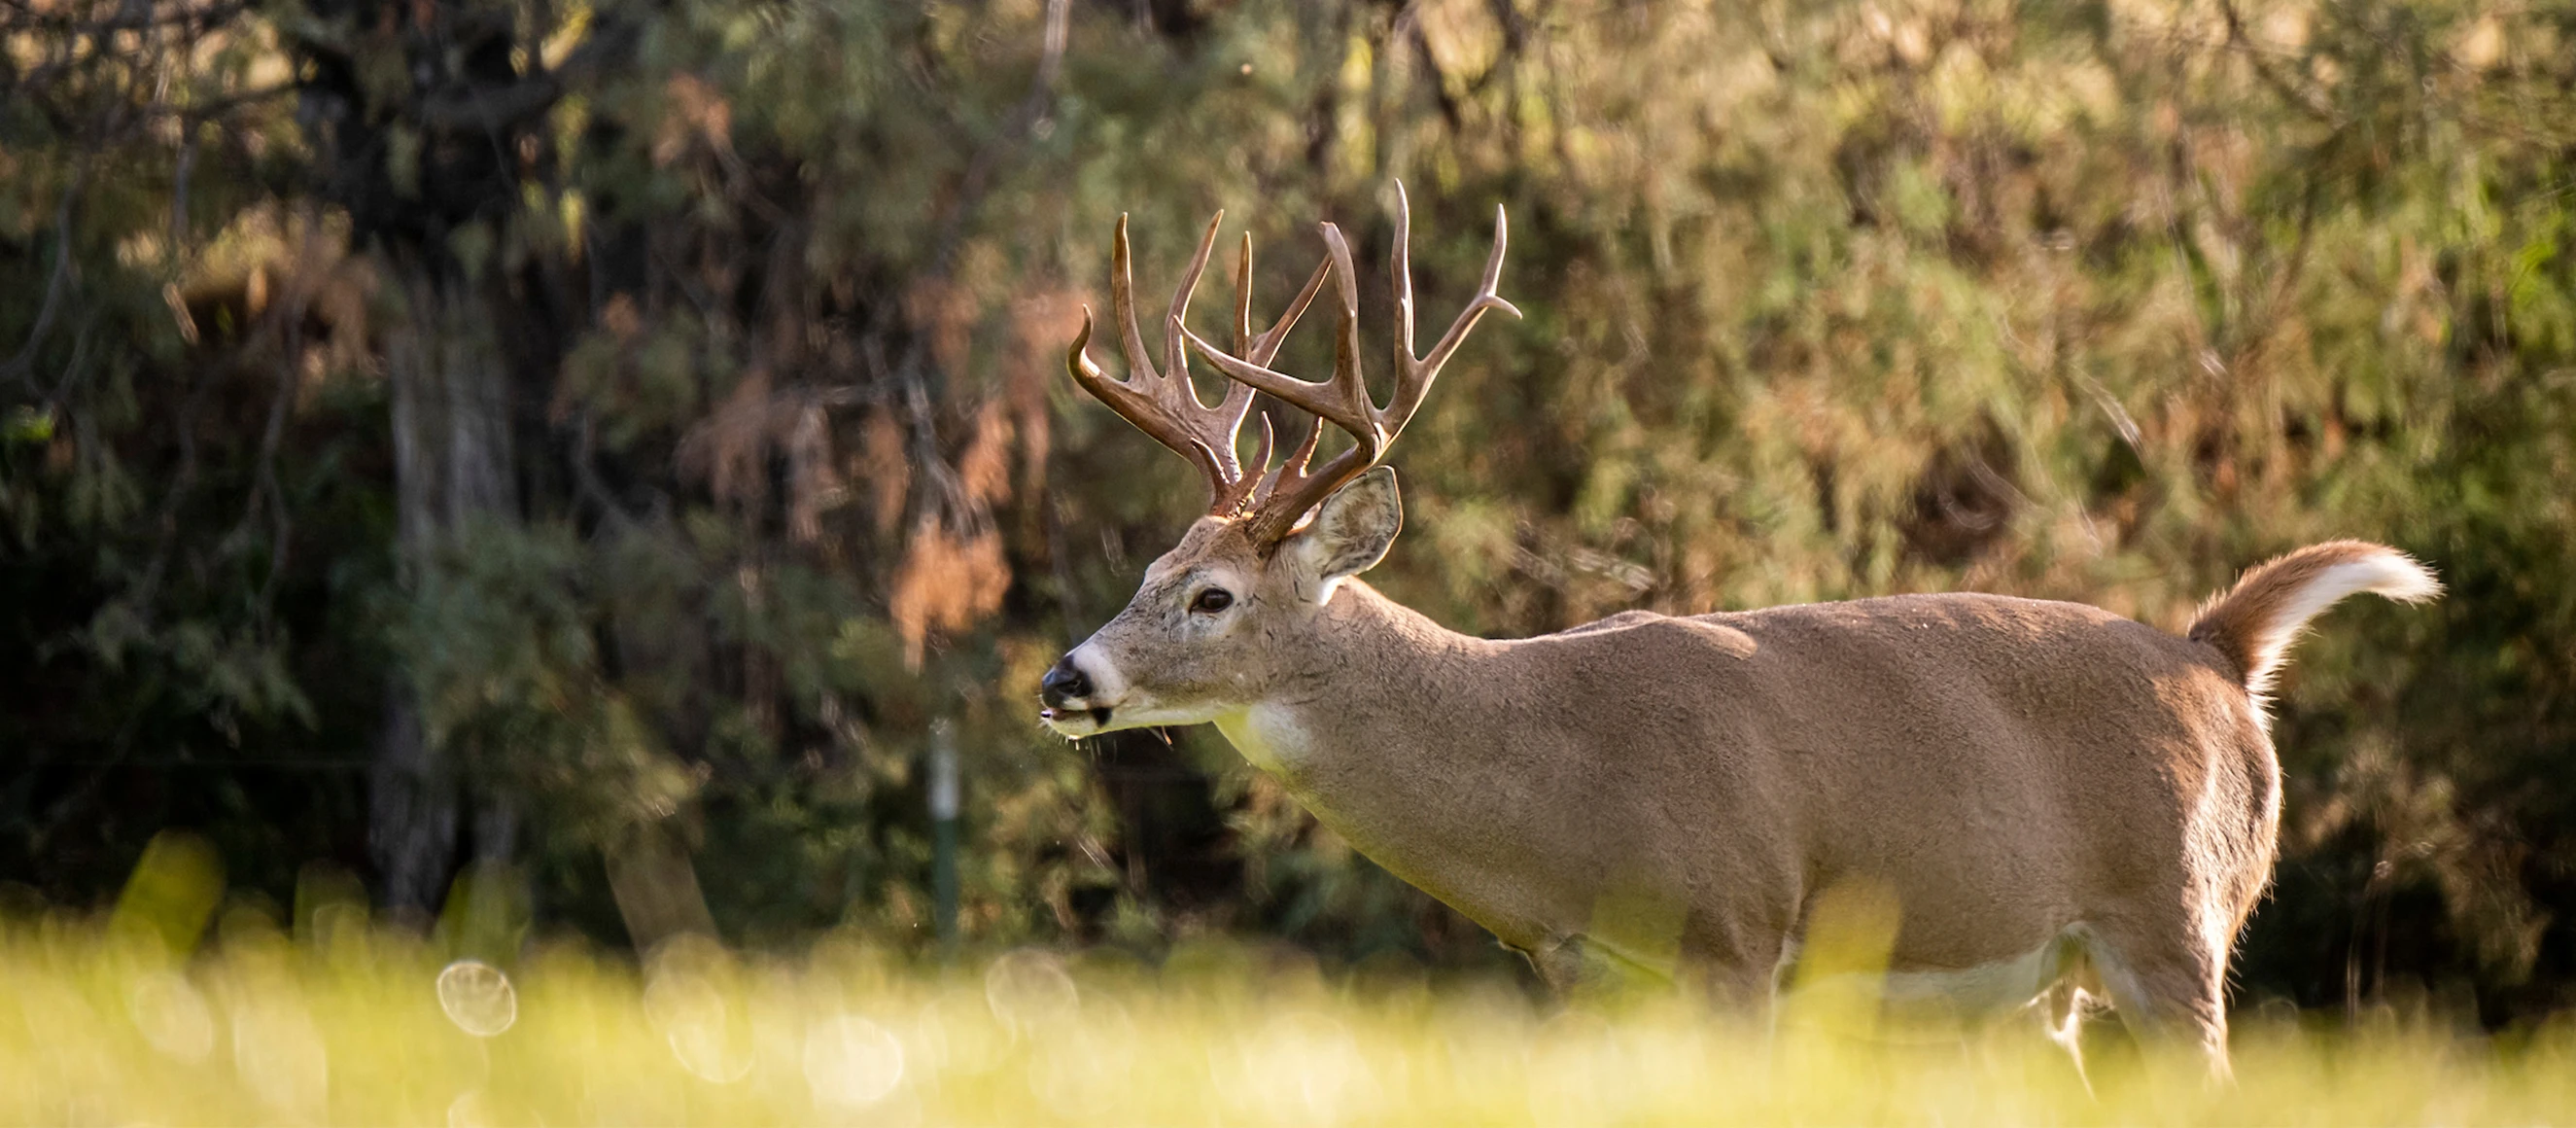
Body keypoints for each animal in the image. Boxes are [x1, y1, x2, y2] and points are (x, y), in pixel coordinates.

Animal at [1030, 187, 2431, 1076]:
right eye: (1151, 565)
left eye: (1212, 596)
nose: (1063, 675)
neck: (1558, 793)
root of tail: (2219, 654)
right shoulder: (1582, 977)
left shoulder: (1740, 935)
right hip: (2048, 985)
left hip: (2177, 917)